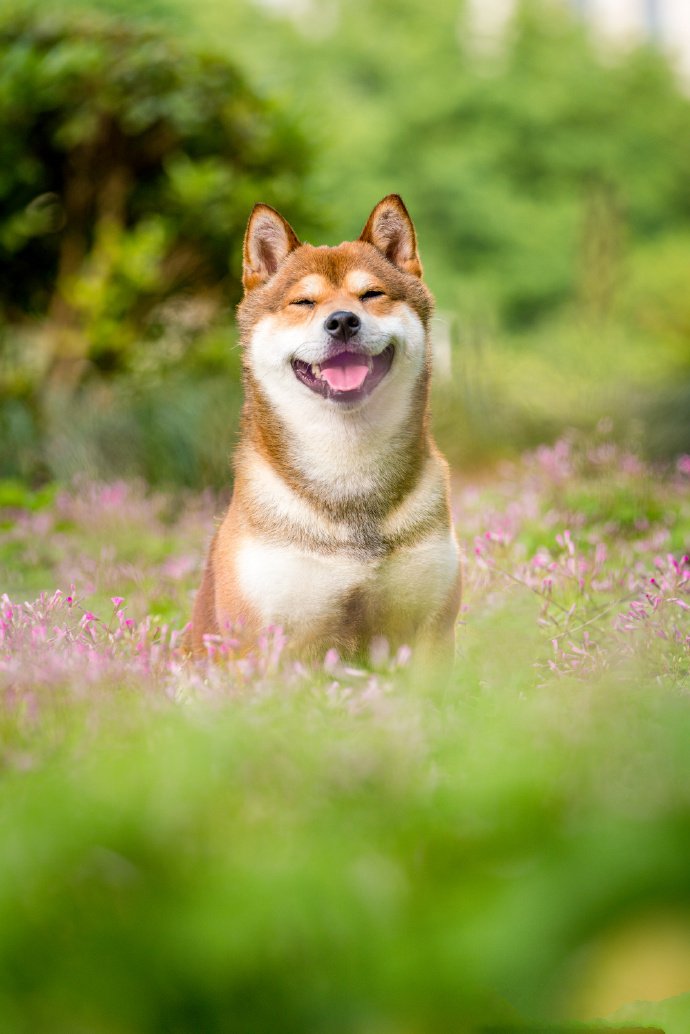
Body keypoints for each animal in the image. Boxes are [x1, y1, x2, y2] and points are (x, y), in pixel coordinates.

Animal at [189, 194, 461, 661]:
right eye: (303, 303)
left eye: (371, 294)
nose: (343, 321)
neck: (349, 463)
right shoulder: (268, 636)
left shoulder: (431, 624)